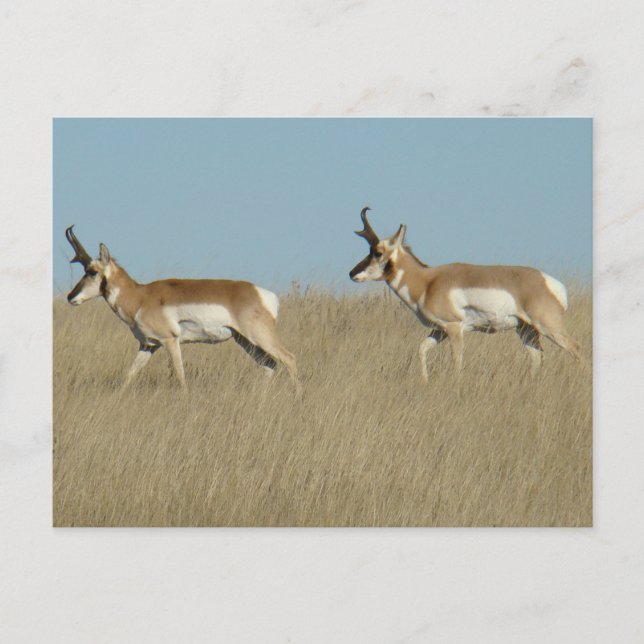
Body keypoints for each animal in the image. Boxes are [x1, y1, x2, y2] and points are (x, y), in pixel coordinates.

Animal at [65, 226, 299, 390]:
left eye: (92, 271)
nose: (70, 297)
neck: (140, 296)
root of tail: (264, 294)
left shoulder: (170, 341)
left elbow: (180, 376)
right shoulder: (148, 345)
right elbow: (129, 374)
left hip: (259, 337)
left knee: (289, 358)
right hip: (245, 341)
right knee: (270, 364)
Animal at [349, 207, 581, 379]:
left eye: (377, 252)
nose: (352, 273)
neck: (427, 281)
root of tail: (550, 282)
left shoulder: (454, 328)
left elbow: (456, 361)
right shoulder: (439, 330)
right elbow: (422, 349)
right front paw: (424, 380)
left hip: (548, 326)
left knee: (576, 348)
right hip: (526, 331)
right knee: (537, 357)